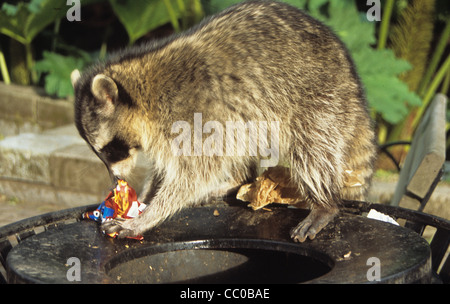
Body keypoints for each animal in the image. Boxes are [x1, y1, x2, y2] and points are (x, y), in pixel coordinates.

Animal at [71, 0, 376, 242]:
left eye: (111, 150)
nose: (116, 181)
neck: (143, 96)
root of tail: (354, 85)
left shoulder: (193, 117)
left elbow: (193, 174)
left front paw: (147, 216)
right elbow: (166, 171)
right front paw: (145, 199)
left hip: (318, 101)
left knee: (312, 152)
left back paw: (324, 203)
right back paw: (242, 180)